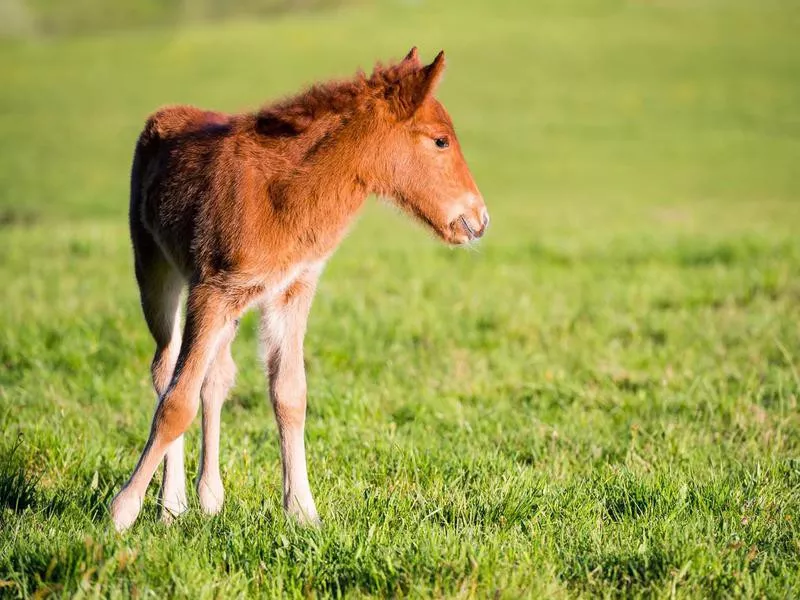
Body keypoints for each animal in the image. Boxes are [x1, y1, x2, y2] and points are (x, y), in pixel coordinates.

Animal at [110, 49, 488, 532]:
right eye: (441, 141)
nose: (478, 218)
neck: (282, 193)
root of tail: (164, 115)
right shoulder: (211, 290)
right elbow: (176, 402)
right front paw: (123, 511)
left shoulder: (290, 291)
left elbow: (289, 394)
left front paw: (302, 511)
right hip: (157, 272)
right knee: (165, 368)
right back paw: (171, 503)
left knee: (216, 376)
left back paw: (209, 496)